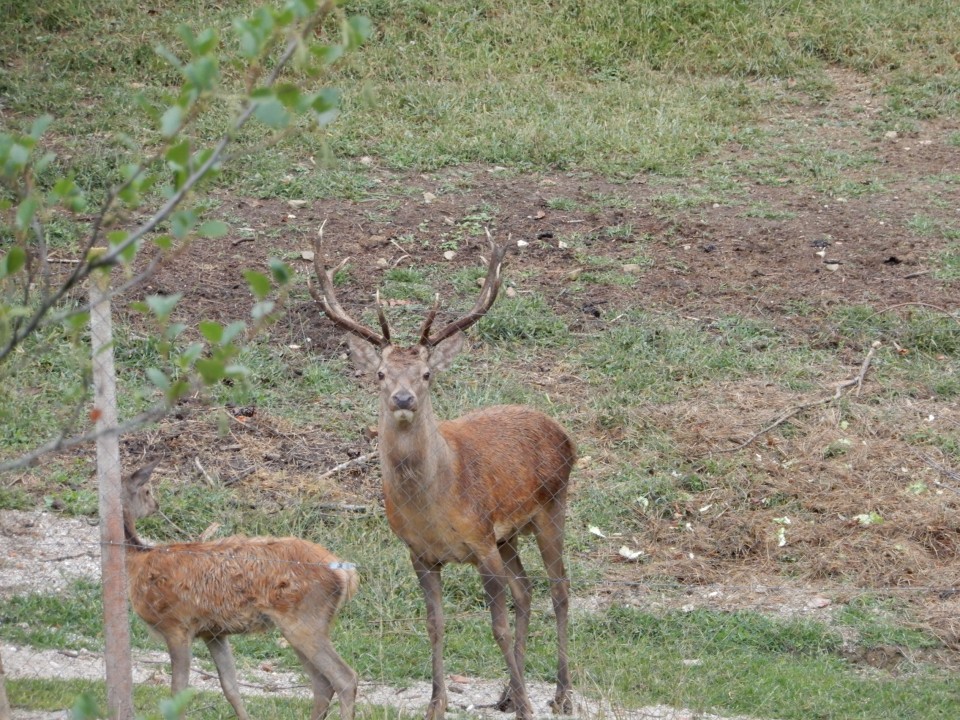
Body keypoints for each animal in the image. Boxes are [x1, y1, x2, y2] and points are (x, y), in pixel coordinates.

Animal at [122, 464, 358, 716]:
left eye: (147, 490)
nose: (156, 505)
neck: (136, 563)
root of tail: (344, 572)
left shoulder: (176, 625)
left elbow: (178, 691)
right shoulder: (213, 632)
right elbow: (230, 688)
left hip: (305, 619)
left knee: (344, 678)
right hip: (302, 626)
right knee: (321, 682)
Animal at [312, 233, 572, 716]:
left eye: (426, 373)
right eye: (380, 373)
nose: (403, 398)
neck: (435, 503)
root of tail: (564, 433)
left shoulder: (481, 541)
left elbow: (497, 628)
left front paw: (528, 707)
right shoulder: (420, 553)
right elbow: (435, 625)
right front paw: (437, 703)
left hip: (552, 505)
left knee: (559, 590)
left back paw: (561, 694)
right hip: (509, 535)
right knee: (526, 591)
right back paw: (509, 693)